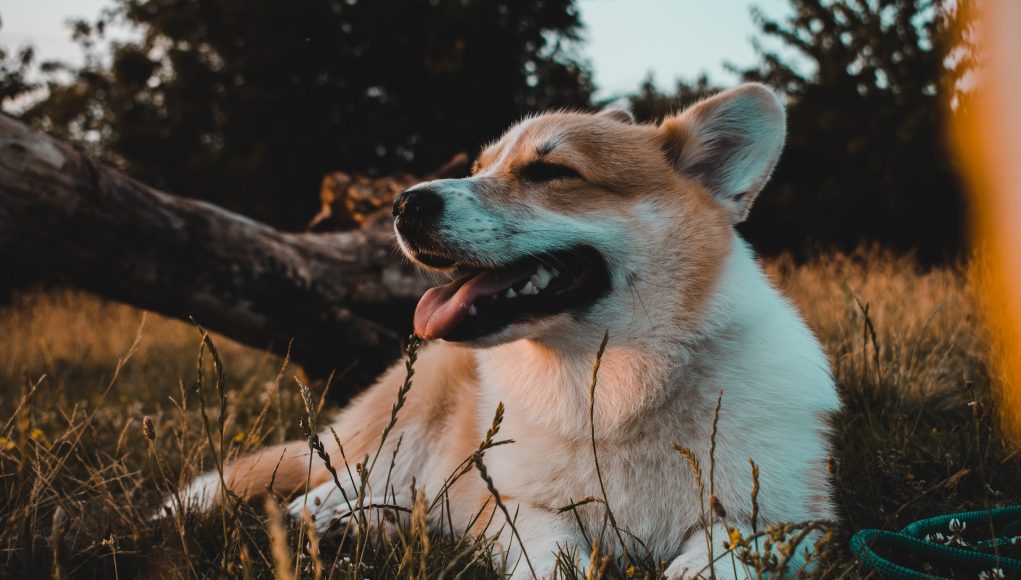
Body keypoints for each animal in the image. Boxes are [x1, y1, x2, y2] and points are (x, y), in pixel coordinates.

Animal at [177, 83, 837, 575]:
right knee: (334, 482)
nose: (403, 205)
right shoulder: (519, 507)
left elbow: (723, 549)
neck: (616, 389)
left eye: (550, 170)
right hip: (402, 429)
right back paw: (322, 521)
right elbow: (551, 552)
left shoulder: (787, 518)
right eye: (477, 169)